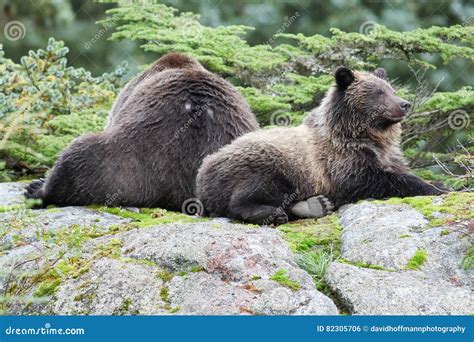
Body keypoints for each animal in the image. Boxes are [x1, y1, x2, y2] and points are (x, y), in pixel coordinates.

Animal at [196, 67, 444, 226]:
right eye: (378, 92)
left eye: (391, 89)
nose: (404, 104)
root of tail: (202, 173)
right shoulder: (340, 161)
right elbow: (373, 180)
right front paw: (435, 188)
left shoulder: (386, 155)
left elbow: (399, 170)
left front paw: (437, 182)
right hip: (265, 162)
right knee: (249, 192)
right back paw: (270, 213)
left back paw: (315, 205)